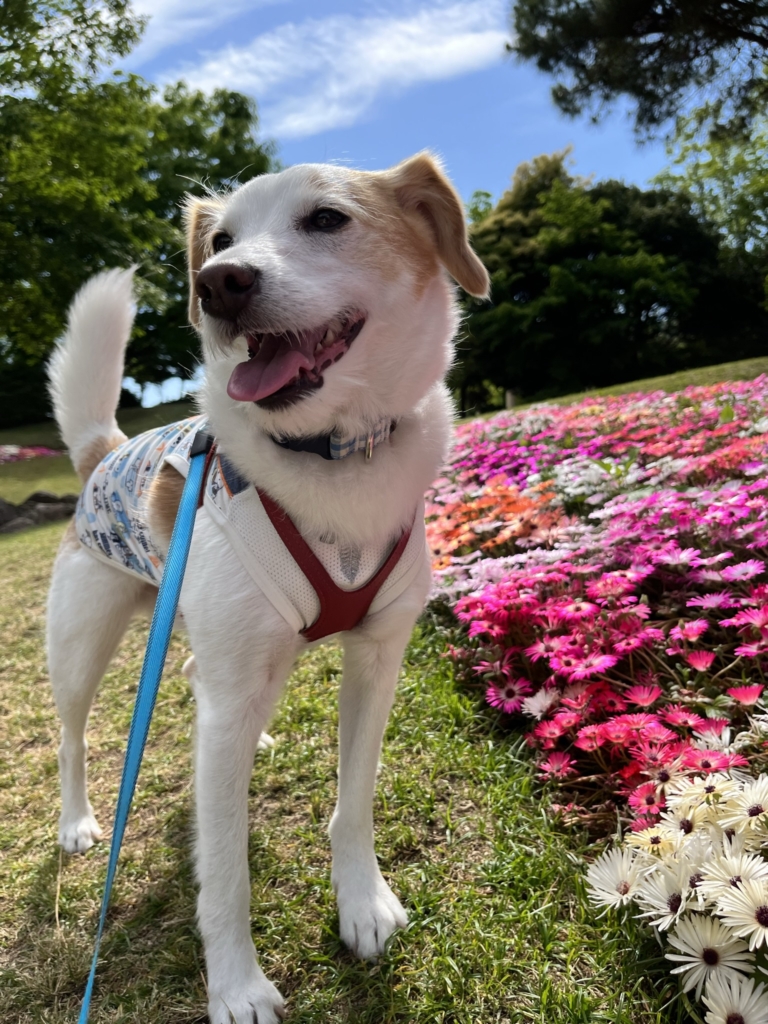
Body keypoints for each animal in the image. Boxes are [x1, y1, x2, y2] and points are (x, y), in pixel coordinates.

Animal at [48, 153, 489, 1024]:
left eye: (326, 219)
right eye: (218, 240)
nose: (218, 283)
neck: (332, 450)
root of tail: (100, 452)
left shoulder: (378, 658)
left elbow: (355, 799)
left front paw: (362, 904)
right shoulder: (226, 706)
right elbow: (224, 870)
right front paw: (236, 987)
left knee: (197, 678)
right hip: (84, 642)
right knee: (76, 736)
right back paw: (80, 820)